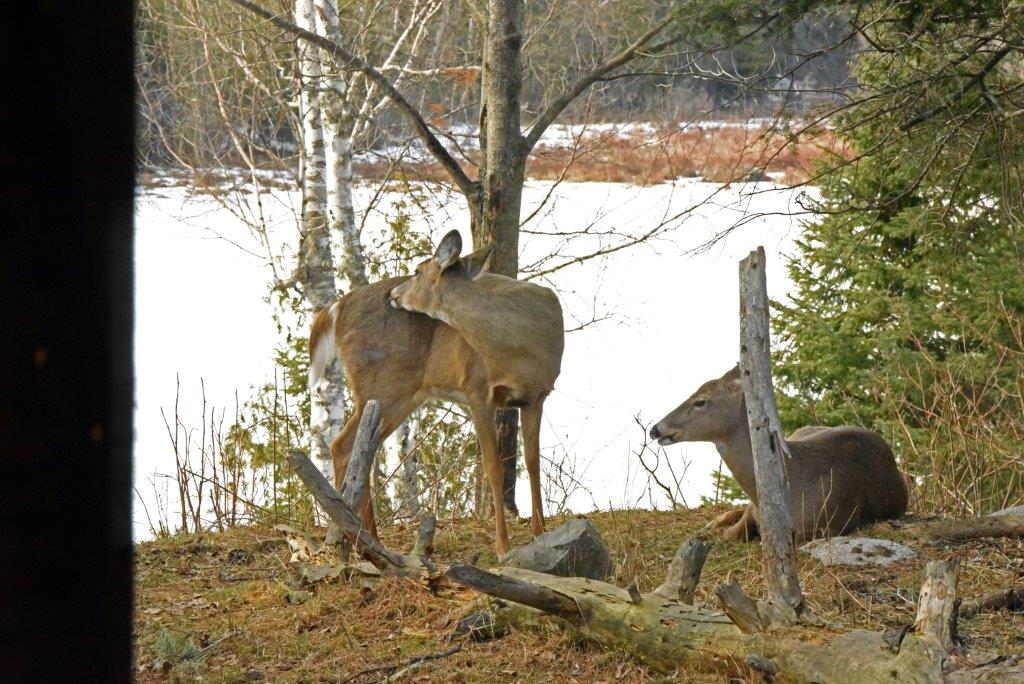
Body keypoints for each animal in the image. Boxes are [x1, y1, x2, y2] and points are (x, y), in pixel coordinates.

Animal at [308, 229, 564, 556]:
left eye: (417, 270)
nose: (394, 295)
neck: (522, 347)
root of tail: (335, 309)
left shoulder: (537, 396)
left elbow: (532, 462)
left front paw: (540, 533)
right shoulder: (476, 389)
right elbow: (493, 467)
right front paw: (502, 545)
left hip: (402, 395)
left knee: (361, 447)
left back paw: (370, 540)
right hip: (379, 385)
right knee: (343, 445)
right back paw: (355, 540)